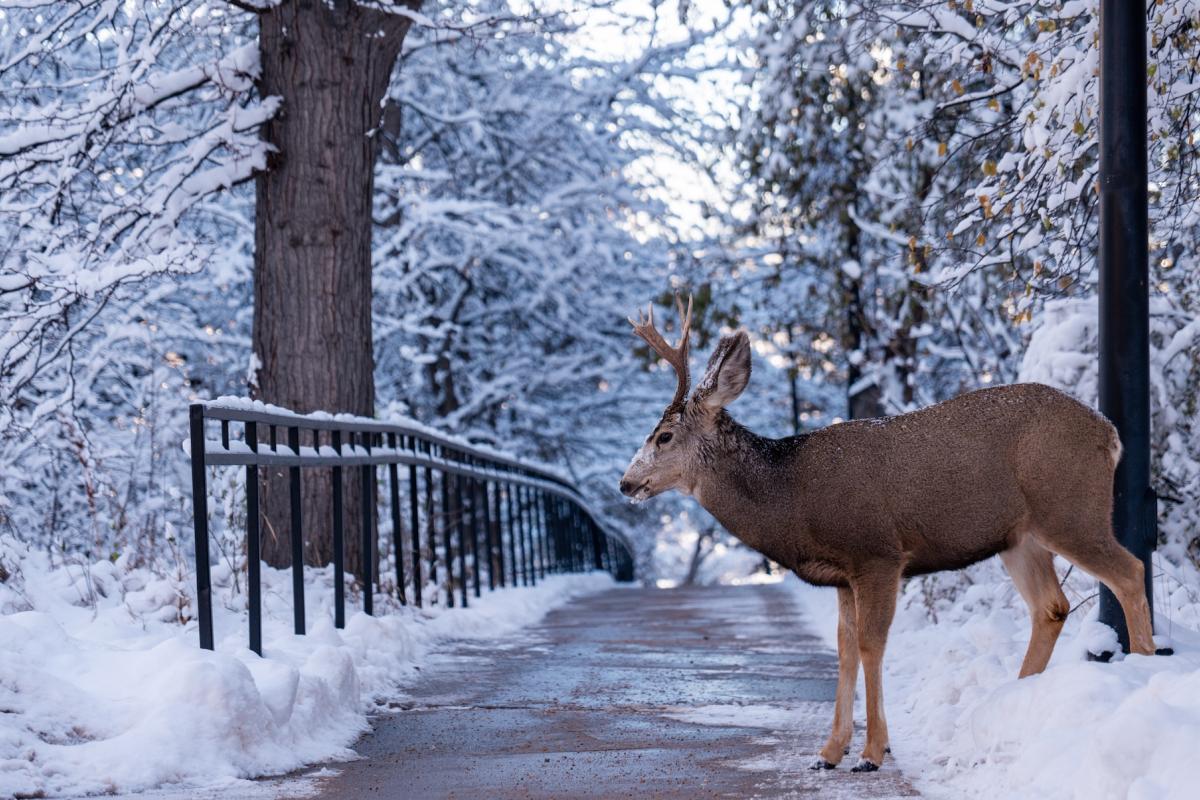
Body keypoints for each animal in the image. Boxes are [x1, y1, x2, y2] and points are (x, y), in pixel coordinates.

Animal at [618, 297, 1156, 773]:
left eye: (664, 436)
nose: (626, 483)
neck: (792, 499)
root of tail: (1109, 434)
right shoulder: (841, 576)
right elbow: (843, 650)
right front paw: (828, 752)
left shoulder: (877, 553)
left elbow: (870, 645)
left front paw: (872, 753)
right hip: (1019, 537)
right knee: (1052, 606)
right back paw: (1009, 704)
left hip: (1069, 507)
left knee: (1130, 571)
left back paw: (1145, 670)